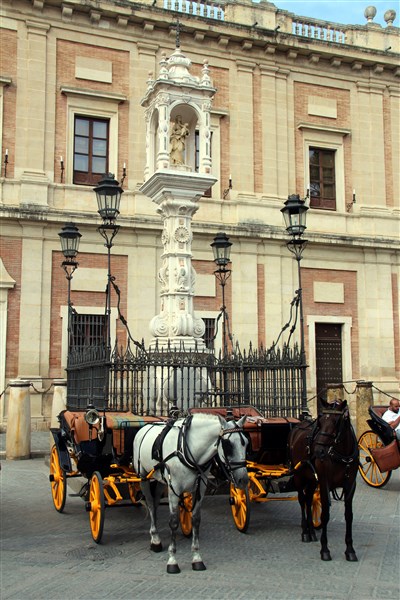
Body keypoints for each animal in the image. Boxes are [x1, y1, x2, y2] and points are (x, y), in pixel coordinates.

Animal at [133, 412, 248, 574]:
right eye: (228, 445)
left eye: (246, 443)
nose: (243, 479)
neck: (188, 448)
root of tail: (146, 426)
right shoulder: (173, 488)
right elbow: (173, 522)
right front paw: (172, 561)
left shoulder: (200, 488)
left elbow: (196, 520)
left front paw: (197, 558)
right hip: (143, 477)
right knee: (150, 504)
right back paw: (155, 540)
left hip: (160, 480)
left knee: (154, 503)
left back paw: (156, 538)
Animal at [288, 399, 359, 561]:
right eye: (320, 421)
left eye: (336, 421)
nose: (318, 451)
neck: (342, 454)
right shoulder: (324, 482)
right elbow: (325, 515)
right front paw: (325, 549)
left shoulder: (350, 485)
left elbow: (349, 515)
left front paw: (350, 549)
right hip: (299, 476)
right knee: (302, 500)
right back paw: (305, 532)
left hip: (312, 479)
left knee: (309, 499)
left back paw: (311, 531)